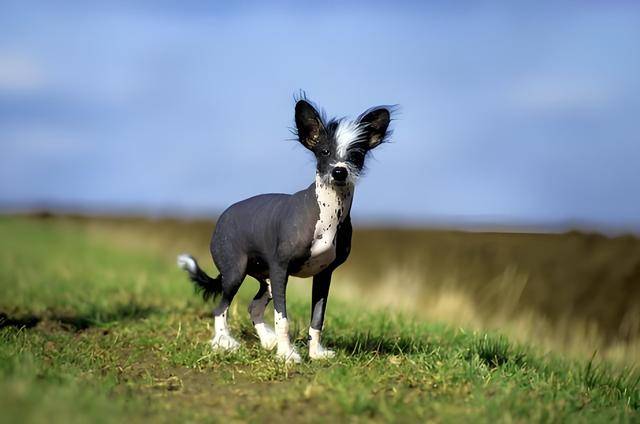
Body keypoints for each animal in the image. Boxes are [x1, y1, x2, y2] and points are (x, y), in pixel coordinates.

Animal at [178, 97, 392, 362]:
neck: (328, 213)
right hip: (236, 273)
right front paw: (287, 355)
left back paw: (266, 341)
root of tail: (223, 216)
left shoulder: (324, 274)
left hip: (266, 278)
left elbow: (317, 319)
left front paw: (315, 353)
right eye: (324, 152)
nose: (339, 171)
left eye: (357, 155)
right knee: (220, 308)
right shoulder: (281, 269)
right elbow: (284, 319)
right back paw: (224, 342)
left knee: (253, 306)